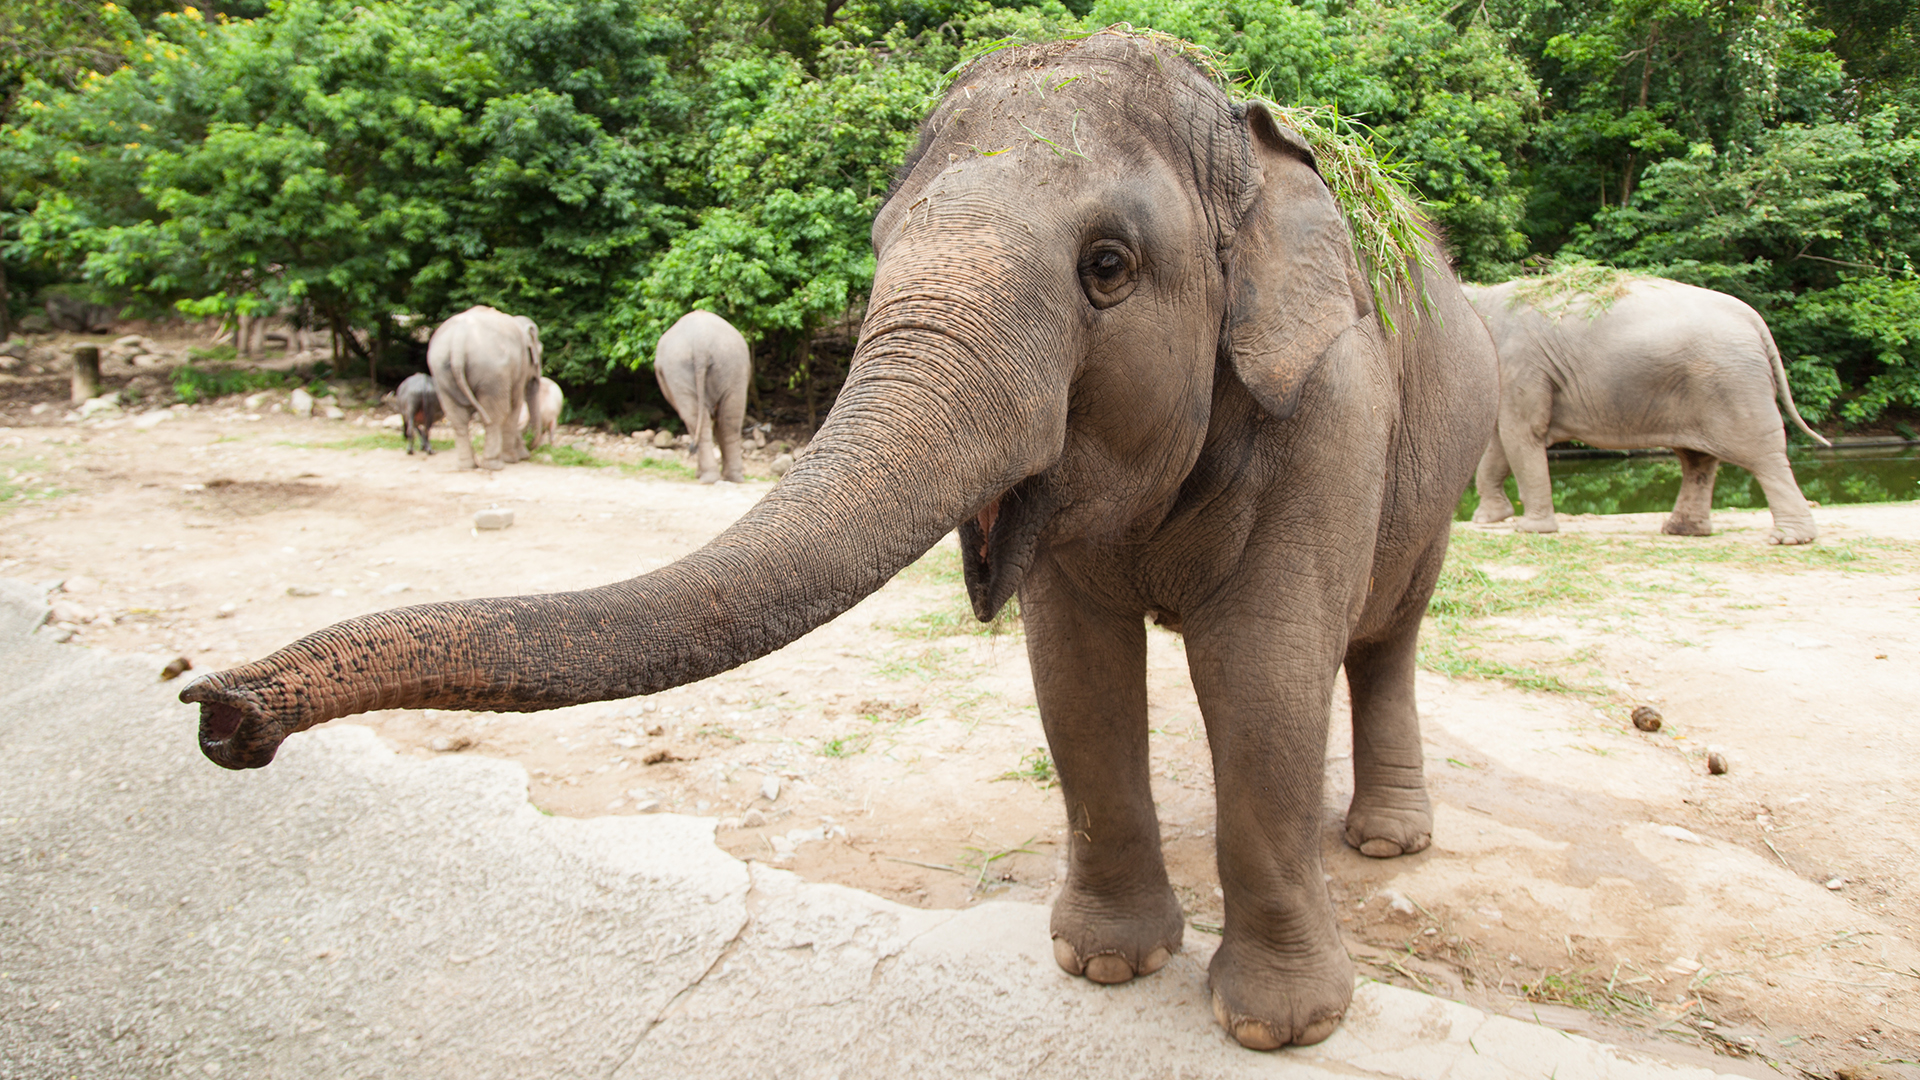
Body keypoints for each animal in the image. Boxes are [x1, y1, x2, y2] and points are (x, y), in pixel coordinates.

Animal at [422, 305, 537, 468]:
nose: (530, 450)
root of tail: (459, 337)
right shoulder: (520, 365)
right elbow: (515, 404)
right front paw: (515, 459)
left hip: (440, 371)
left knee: (457, 418)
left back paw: (467, 465)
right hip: (492, 372)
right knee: (495, 415)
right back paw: (494, 465)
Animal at [656, 309, 752, 480]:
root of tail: (701, 345)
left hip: (679, 369)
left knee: (696, 419)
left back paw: (708, 478)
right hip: (731, 363)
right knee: (729, 420)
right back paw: (731, 477)